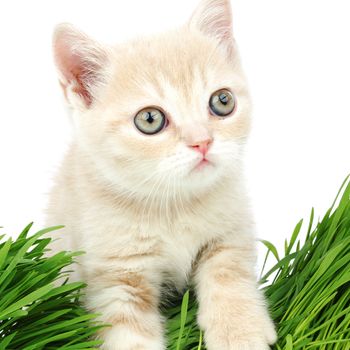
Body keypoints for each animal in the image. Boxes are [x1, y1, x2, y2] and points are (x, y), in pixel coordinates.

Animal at [45, 0, 276, 350]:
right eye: (150, 119)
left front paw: (240, 333)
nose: (202, 141)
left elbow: (229, 277)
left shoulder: (231, 234)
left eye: (222, 101)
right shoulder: (115, 279)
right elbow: (129, 336)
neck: (173, 204)